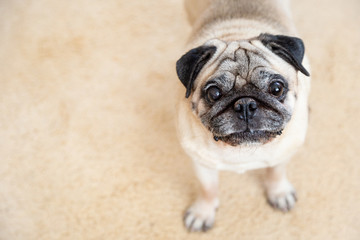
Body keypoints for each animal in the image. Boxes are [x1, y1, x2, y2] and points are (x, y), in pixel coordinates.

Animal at [176, 0, 310, 232]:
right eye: (214, 93)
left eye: (276, 88)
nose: (245, 104)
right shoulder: (202, 163)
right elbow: (207, 189)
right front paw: (203, 212)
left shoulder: (283, 152)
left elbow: (276, 172)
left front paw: (279, 192)